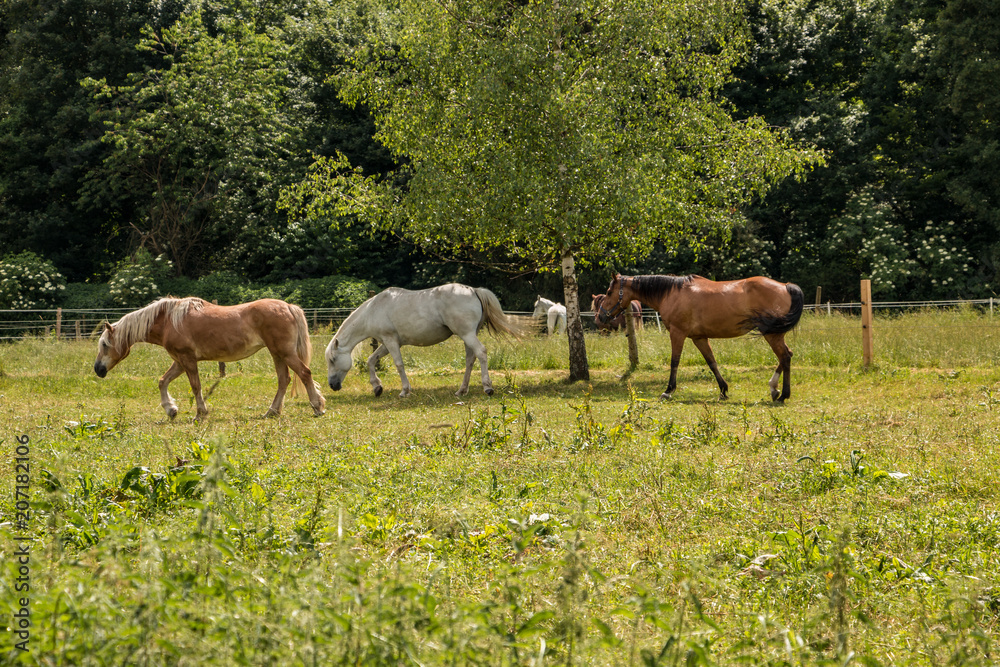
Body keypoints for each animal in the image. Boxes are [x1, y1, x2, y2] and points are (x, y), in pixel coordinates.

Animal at [93, 297, 326, 420]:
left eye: (104, 344)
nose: (98, 369)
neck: (169, 320)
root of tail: (288, 307)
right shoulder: (179, 361)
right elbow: (162, 381)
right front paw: (171, 409)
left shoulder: (187, 360)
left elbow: (196, 386)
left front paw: (200, 413)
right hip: (277, 354)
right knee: (284, 380)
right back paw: (272, 411)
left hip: (285, 353)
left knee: (304, 373)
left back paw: (317, 407)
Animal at [326, 283, 520, 398]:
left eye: (333, 359)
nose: (332, 385)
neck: (373, 309)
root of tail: (473, 290)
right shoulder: (387, 344)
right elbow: (371, 360)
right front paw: (377, 387)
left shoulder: (390, 341)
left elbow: (399, 364)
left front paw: (405, 390)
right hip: (469, 336)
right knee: (470, 359)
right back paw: (461, 390)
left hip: (467, 334)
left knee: (481, 353)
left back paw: (487, 387)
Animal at [597, 274, 803, 402]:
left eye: (608, 292)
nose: (599, 317)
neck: (672, 293)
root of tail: (786, 287)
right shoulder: (699, 338)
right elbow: (711, 362)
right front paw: (723, 390)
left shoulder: (677, 333)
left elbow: (674, 362)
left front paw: (668, 391)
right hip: (774, 334)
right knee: (787, 355)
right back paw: (774, 389)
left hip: (772, 334)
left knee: (785, 357)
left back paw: (782, 394)